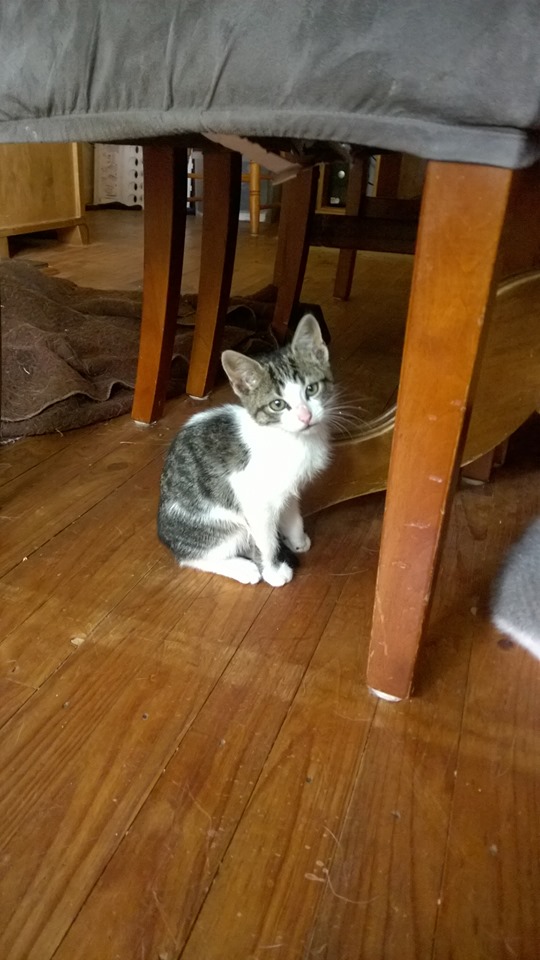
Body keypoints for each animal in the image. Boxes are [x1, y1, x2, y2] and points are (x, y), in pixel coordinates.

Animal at [157, 314, 333, 586]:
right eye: (277, 404)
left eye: (311, 389)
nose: (305, 416)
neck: (293, 440)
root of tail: (165, 537)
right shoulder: (254, 498)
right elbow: (267, 541)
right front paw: (273, 571)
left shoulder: (288, 489)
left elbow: (292, 514)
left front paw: (298, 539)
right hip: (220, 524)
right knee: (192, 557)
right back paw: (242, 568)